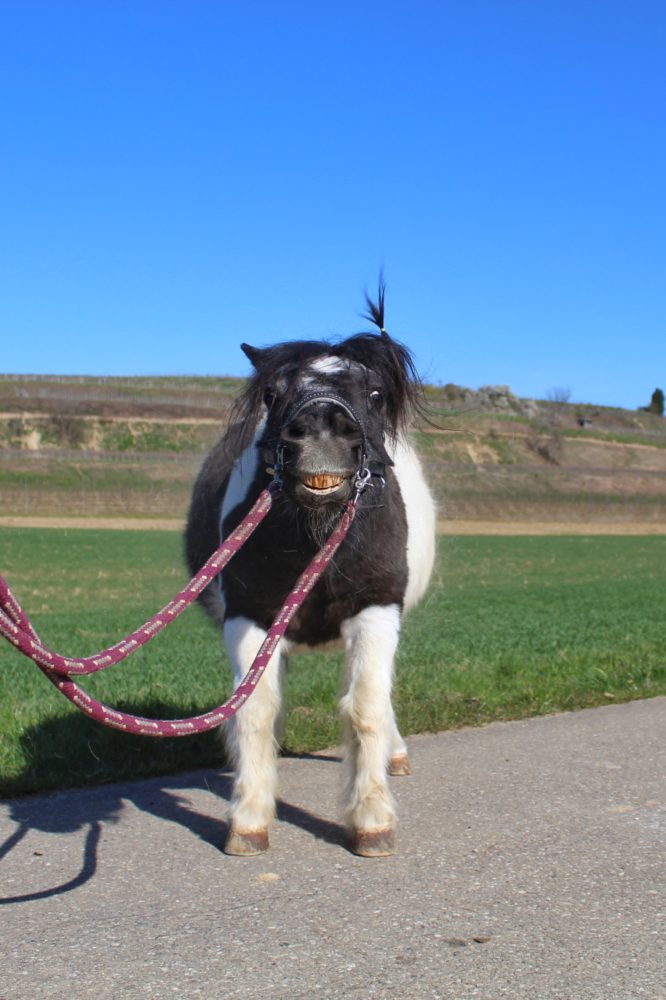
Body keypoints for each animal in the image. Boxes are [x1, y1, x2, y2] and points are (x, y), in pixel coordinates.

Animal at [185, 292, 436, 860]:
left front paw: (371, 820)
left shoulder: (376, 608)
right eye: (272, 393)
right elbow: (255, 709)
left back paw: (395, 756)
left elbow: (366, 707)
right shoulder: (250, 614)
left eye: (374, 392)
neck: (318, 537)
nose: (322, 427)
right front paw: (249, 817)